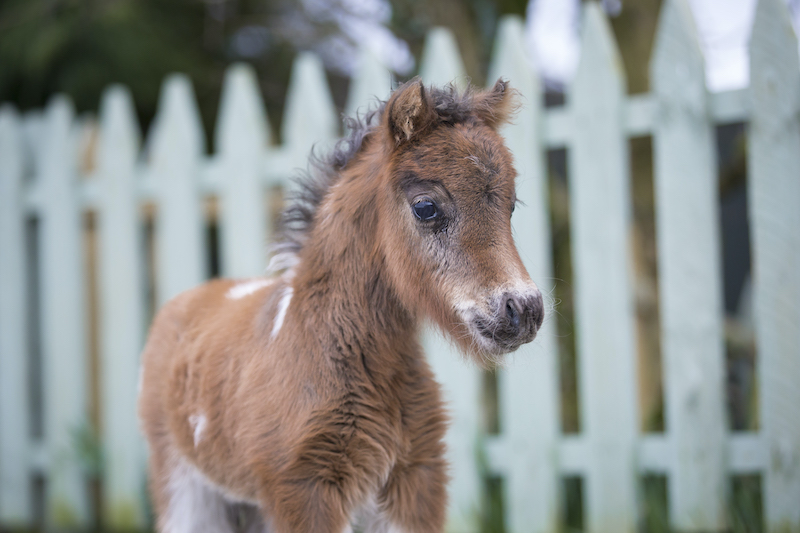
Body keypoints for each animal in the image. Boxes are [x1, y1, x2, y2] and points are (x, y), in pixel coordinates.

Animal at [138, 77, 544, 533]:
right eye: (426, 207)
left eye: (511, 205)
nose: (523, 310)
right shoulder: (303, 490)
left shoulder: (416, 478)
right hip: (186, 486)